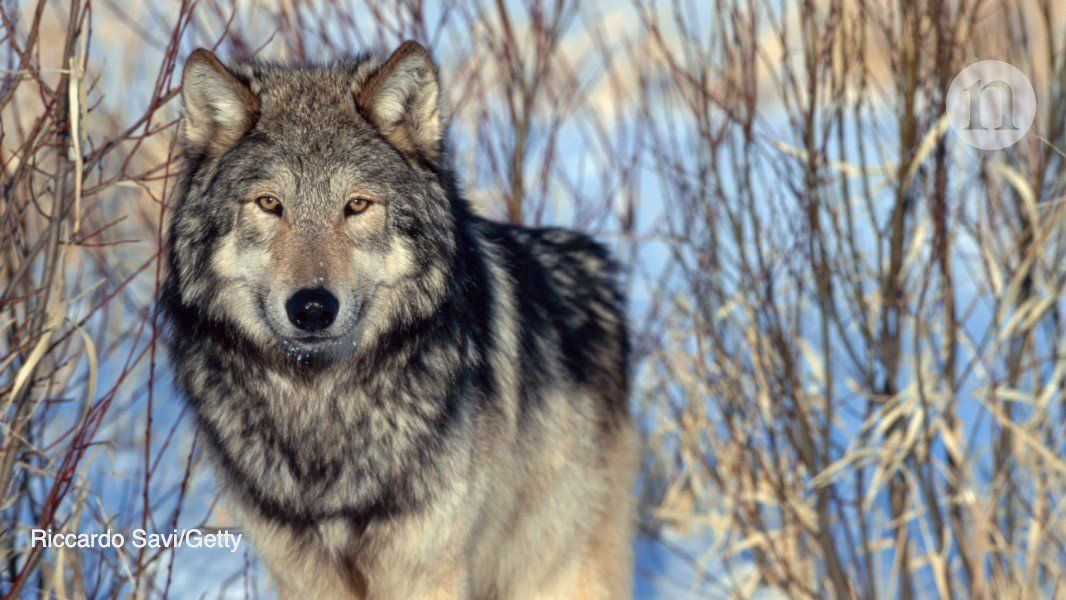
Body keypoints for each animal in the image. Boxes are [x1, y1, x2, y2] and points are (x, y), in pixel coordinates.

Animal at [161, 41, 637, 599]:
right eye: (270, 204)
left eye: (357, 205)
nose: (312, 308)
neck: (320, 407)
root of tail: (599, 268)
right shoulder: (301, 575)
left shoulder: (427, 569)